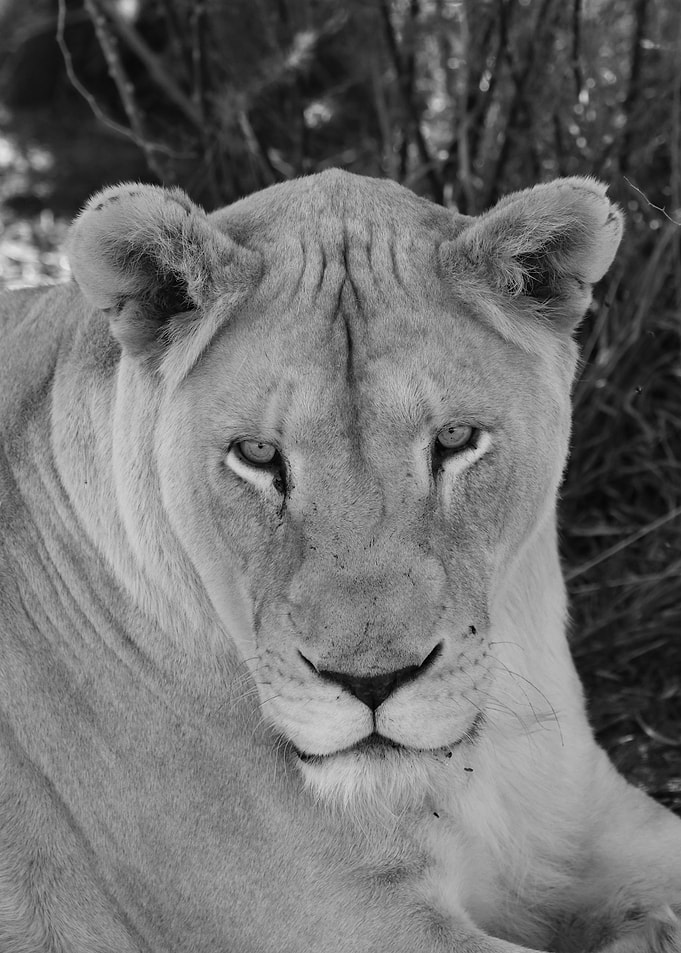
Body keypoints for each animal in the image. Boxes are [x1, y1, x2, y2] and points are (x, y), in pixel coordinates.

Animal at [0, 170, 679, 953]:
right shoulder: (356, 918)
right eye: (258, 454)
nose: (373, 682)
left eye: (454, 438)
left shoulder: (602, 823)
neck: (475, 764)